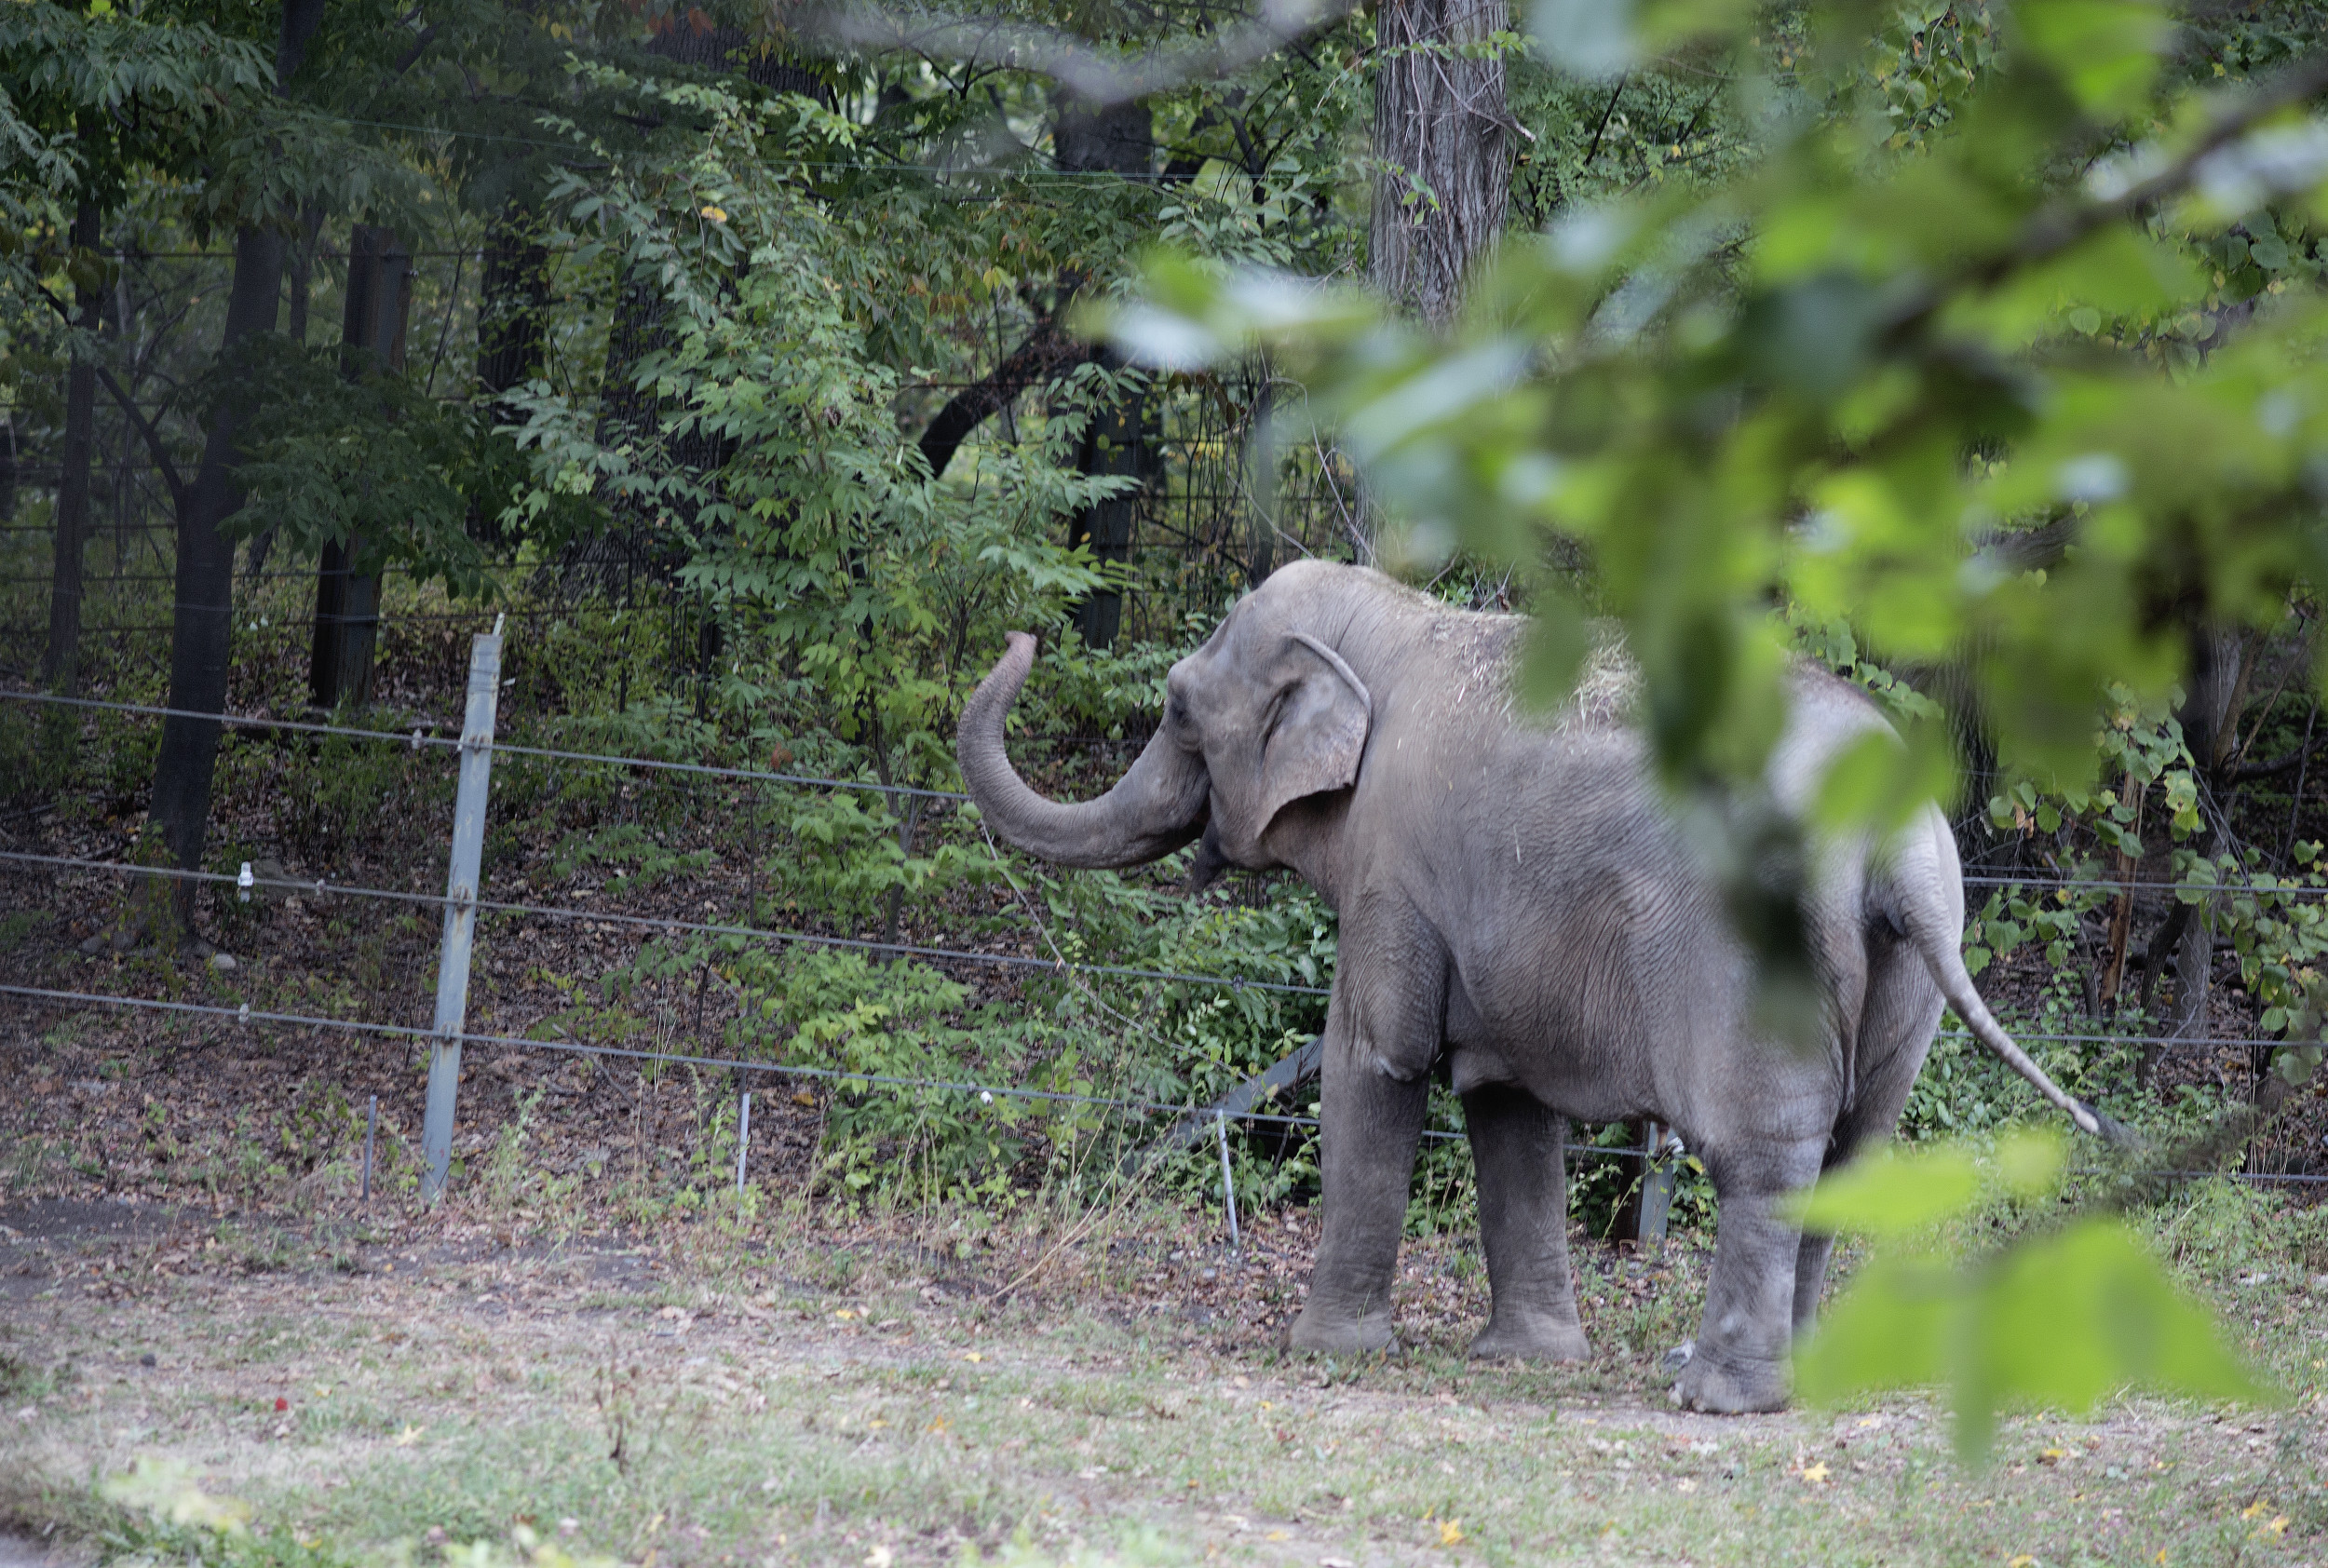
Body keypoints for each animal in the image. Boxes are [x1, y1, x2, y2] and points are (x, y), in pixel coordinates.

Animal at [954, 556, 2105, 1414]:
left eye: (1178, 708)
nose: (1023, 636)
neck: (1393, 624)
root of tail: (1896, 836)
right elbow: (1504, 1098)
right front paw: (1526, 1362)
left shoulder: (1395, 870)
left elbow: (1374, 1063)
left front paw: (1323, 1352)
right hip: (1909, 971)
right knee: (1855, 1153)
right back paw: (1802, 1385)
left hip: (1759, 953)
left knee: (1765, 1152)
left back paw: (1717, 1398)